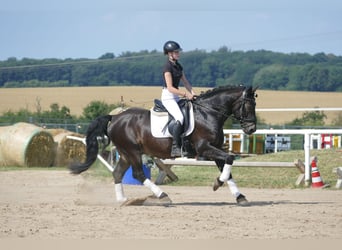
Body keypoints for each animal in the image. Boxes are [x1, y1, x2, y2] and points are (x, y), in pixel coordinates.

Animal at [69, 85, 256, 205]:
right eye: (248, 105)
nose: (252, 128)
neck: (208, 113)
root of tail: (114, 117)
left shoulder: (215, 149)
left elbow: (227, 168)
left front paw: (239, 197)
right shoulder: (205, 148)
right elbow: (230, 159)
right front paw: (217, 183)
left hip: (125, 153)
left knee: (117, 173)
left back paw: (123, 200)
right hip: (133, 151)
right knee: (138, 174)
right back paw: (163, 196)